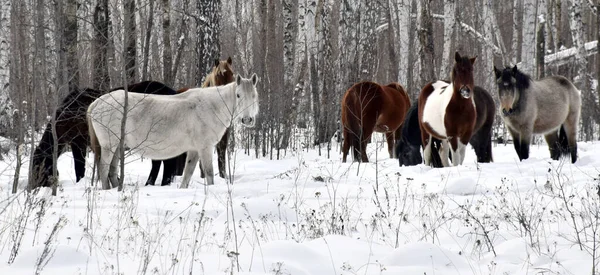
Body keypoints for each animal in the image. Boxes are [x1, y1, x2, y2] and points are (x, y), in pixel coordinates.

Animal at [30, 81, 184, 190]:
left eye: (38, 167)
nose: (33, 187)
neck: (71, 112)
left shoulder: (78, 143)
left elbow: (79, 168)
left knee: (164, 163)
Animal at [86, 74, 258, 190]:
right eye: (238, 95)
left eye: (254, 96)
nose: (247, 120)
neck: (211, 106)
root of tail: (97, 103)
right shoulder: (205, 148)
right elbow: (209, 173)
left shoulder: (194, 150)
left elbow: (187, 174)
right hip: (109, 146)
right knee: (104, 169)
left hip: (117, 147)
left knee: (112, 171)